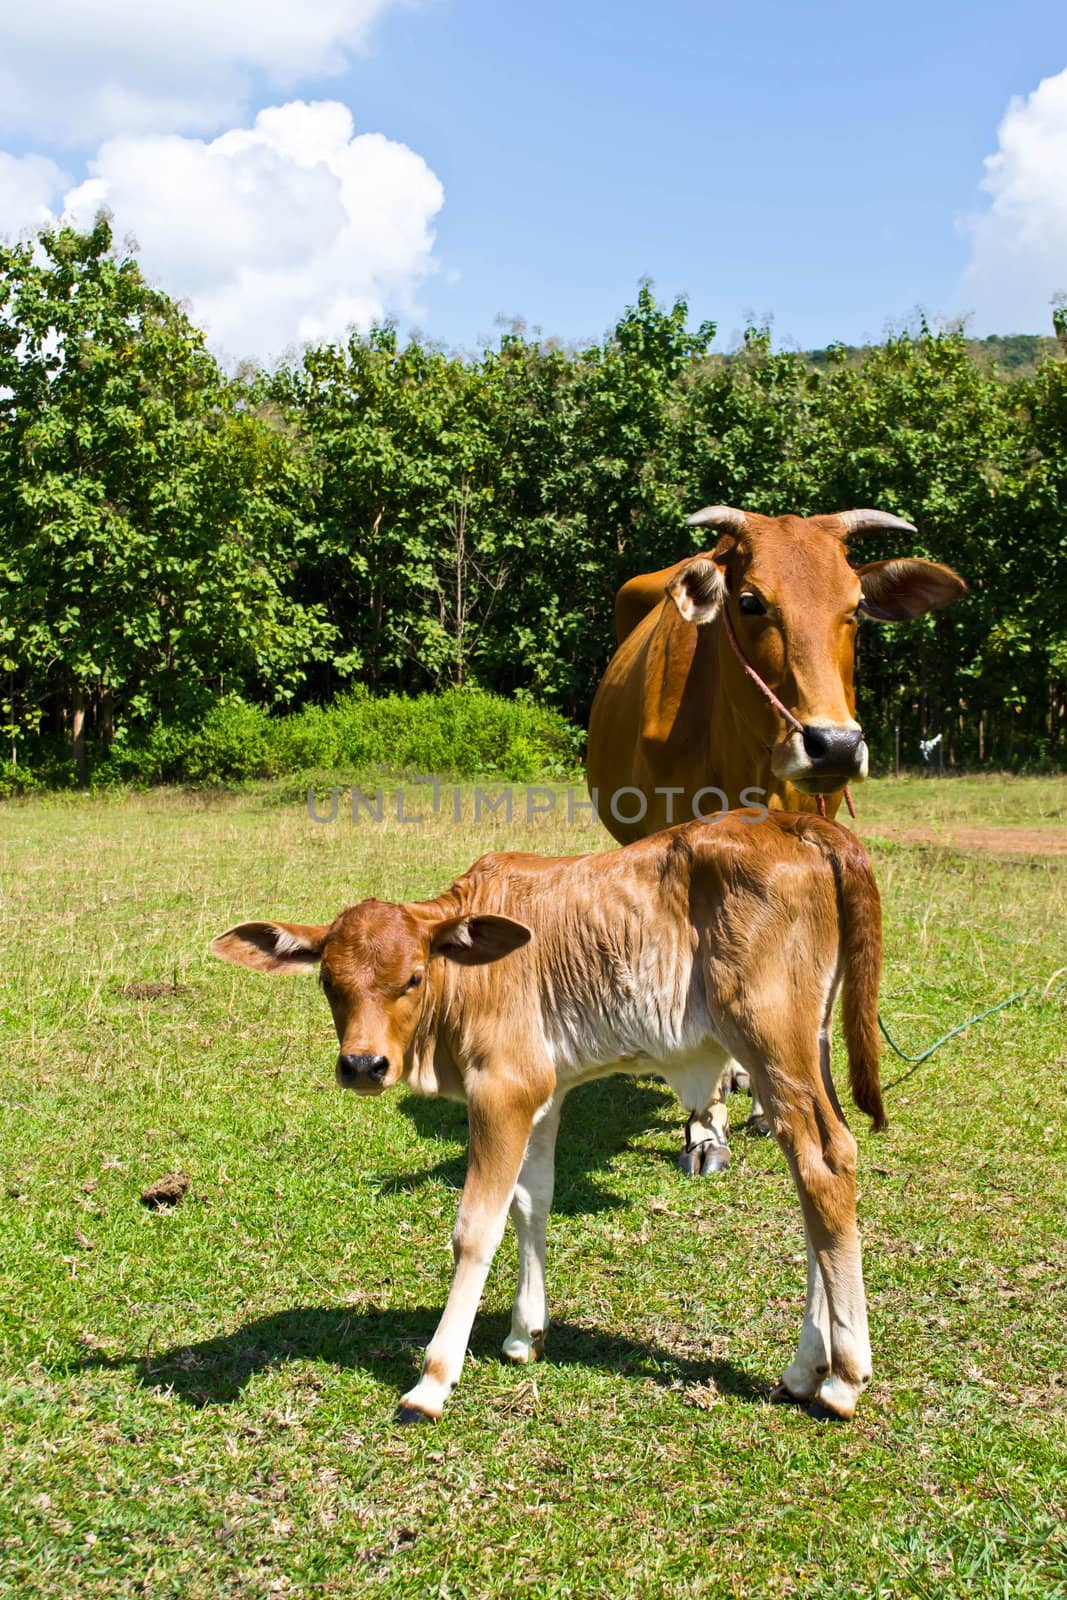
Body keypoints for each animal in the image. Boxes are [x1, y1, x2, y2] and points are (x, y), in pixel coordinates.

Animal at [214, 812, 883, 1427]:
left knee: (823, 1164)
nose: (361, 1064)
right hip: (808, 1046)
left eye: (413, 977)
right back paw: (809, 1366)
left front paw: (433, 1379)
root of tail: (796, 822)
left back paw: (841, 1376)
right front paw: (523, 1333)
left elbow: (476, 1228)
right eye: (329, 982)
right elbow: (532, 1199)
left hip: (769, 1041)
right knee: (822, 1172)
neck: (467, 973)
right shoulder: (545, 1092)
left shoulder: (503, 1088)